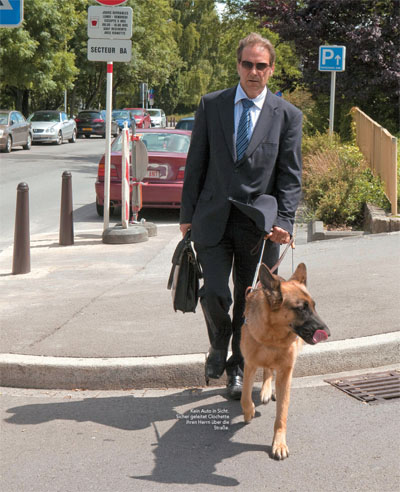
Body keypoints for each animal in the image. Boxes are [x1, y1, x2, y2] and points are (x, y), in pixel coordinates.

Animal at [241, 264, 328, 460]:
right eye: (301, 308)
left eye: (314, 306)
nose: (328, 332)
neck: (272, 337)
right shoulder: (249, 365)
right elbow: (245, 396)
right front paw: (249, 411)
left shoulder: (285, 373)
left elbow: (281, 414)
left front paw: (279, 444)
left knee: (269, 371)